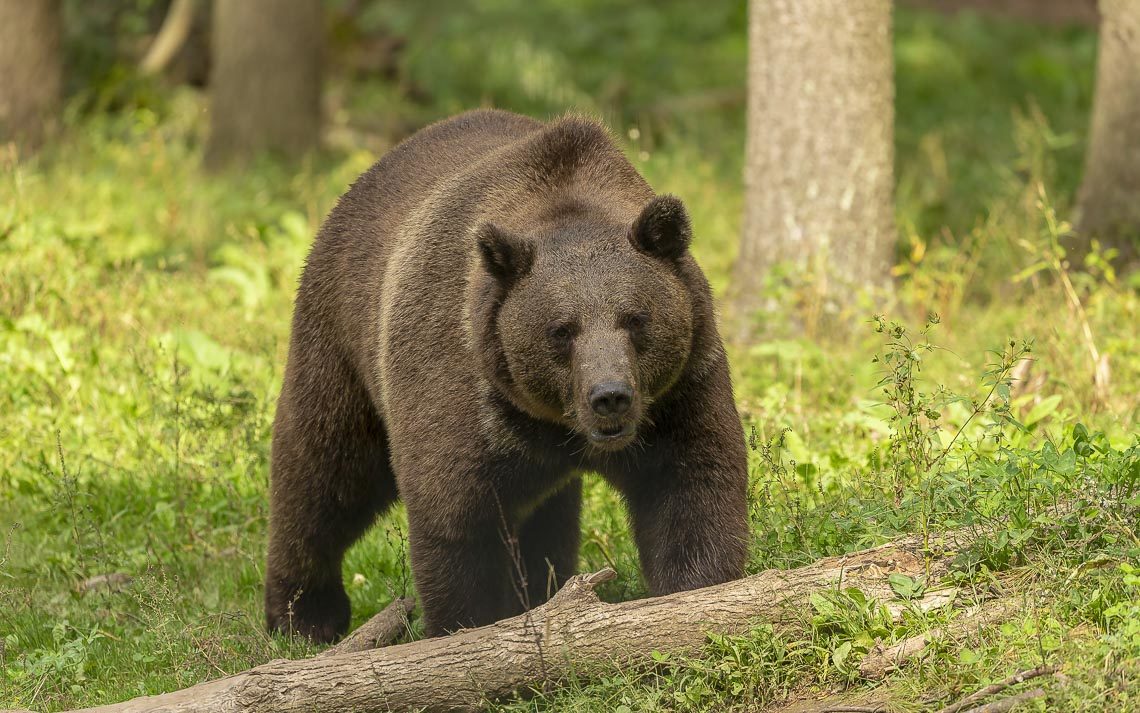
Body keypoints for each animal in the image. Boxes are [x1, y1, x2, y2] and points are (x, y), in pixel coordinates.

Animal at [263, 110, 752, 638]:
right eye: (562, 330)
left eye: (636, 318)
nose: (610, 396)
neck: (554, 424)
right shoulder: (459, 383)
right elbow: (456, 518)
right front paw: (467, 623)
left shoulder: (680, 388)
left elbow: (690, 486)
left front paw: (694, 592)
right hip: (341, 340)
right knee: (323, 472)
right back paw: (303, 614)